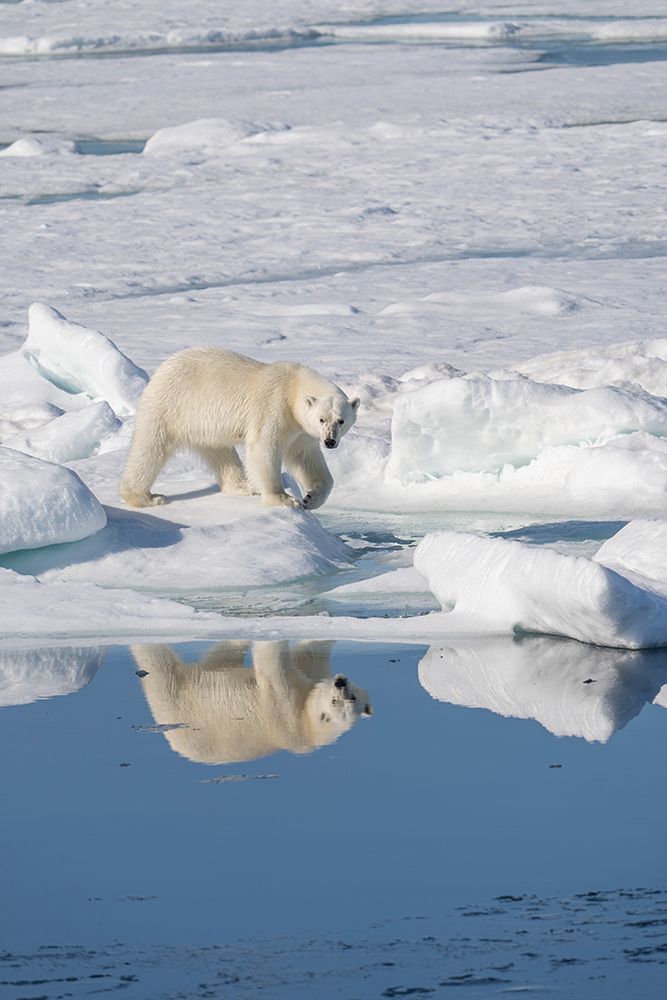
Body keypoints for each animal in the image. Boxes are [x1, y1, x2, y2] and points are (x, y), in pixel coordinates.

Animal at [119, 347, 360, 510]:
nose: (330, 441)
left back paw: (244, 486)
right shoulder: (274, 407)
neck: (293, 386)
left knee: (220, 453)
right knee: (150, 448)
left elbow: (305, 457)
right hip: (171, 405)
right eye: (321, 419)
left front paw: (312, 498)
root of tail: (163, 368)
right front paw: (284, 498)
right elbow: (265, 447)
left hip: (204, 424)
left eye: (341, 420)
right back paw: (146, 497)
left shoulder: (300, 428)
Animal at [131, 640, 372, 764]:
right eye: (337, 699)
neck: (308, 729)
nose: (341, 682)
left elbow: (272, 664)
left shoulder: (286, 713)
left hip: (180, 702)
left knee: (162, 667)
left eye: (348, 698)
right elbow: (309, 654)